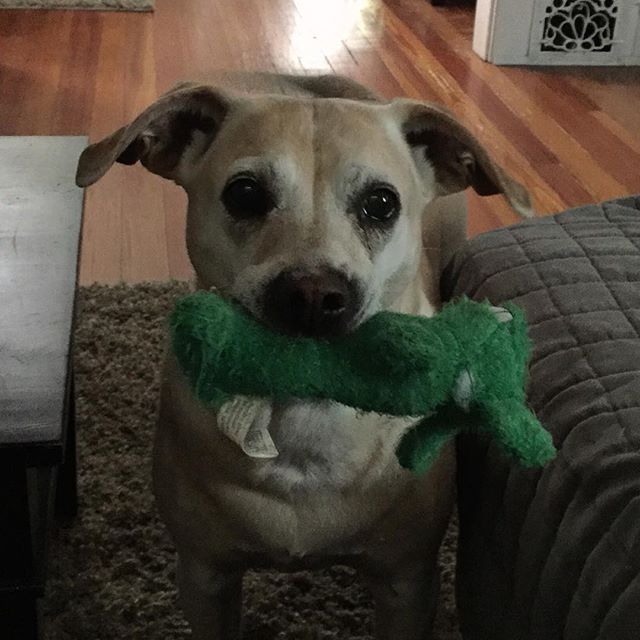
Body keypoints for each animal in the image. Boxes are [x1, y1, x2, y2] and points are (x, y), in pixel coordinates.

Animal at [75, 72, 528, 636]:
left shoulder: (408, 583)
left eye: (382, 203)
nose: (314, 295)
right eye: (245, 193)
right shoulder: (204, 577)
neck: (305, 412)